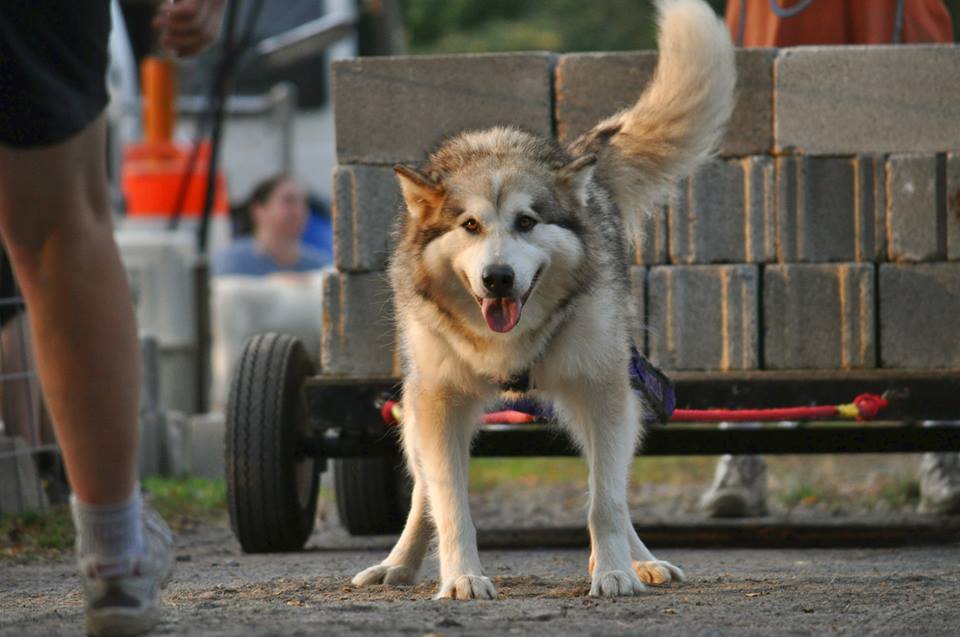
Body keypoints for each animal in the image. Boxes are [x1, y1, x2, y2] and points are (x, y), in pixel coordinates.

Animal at [352, 0, 736, 596]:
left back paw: (642, 561)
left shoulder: (602, 392)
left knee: (613, 486)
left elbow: (606, 502)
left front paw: (615, 571)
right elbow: (449, 504)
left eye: (527, 222)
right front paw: (461, 578)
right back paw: (399, 562)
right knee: (422, 495)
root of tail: (576, 156)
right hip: (415, 411)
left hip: (614, 396)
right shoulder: (439, 404)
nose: (498, 278)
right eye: (469, 225)